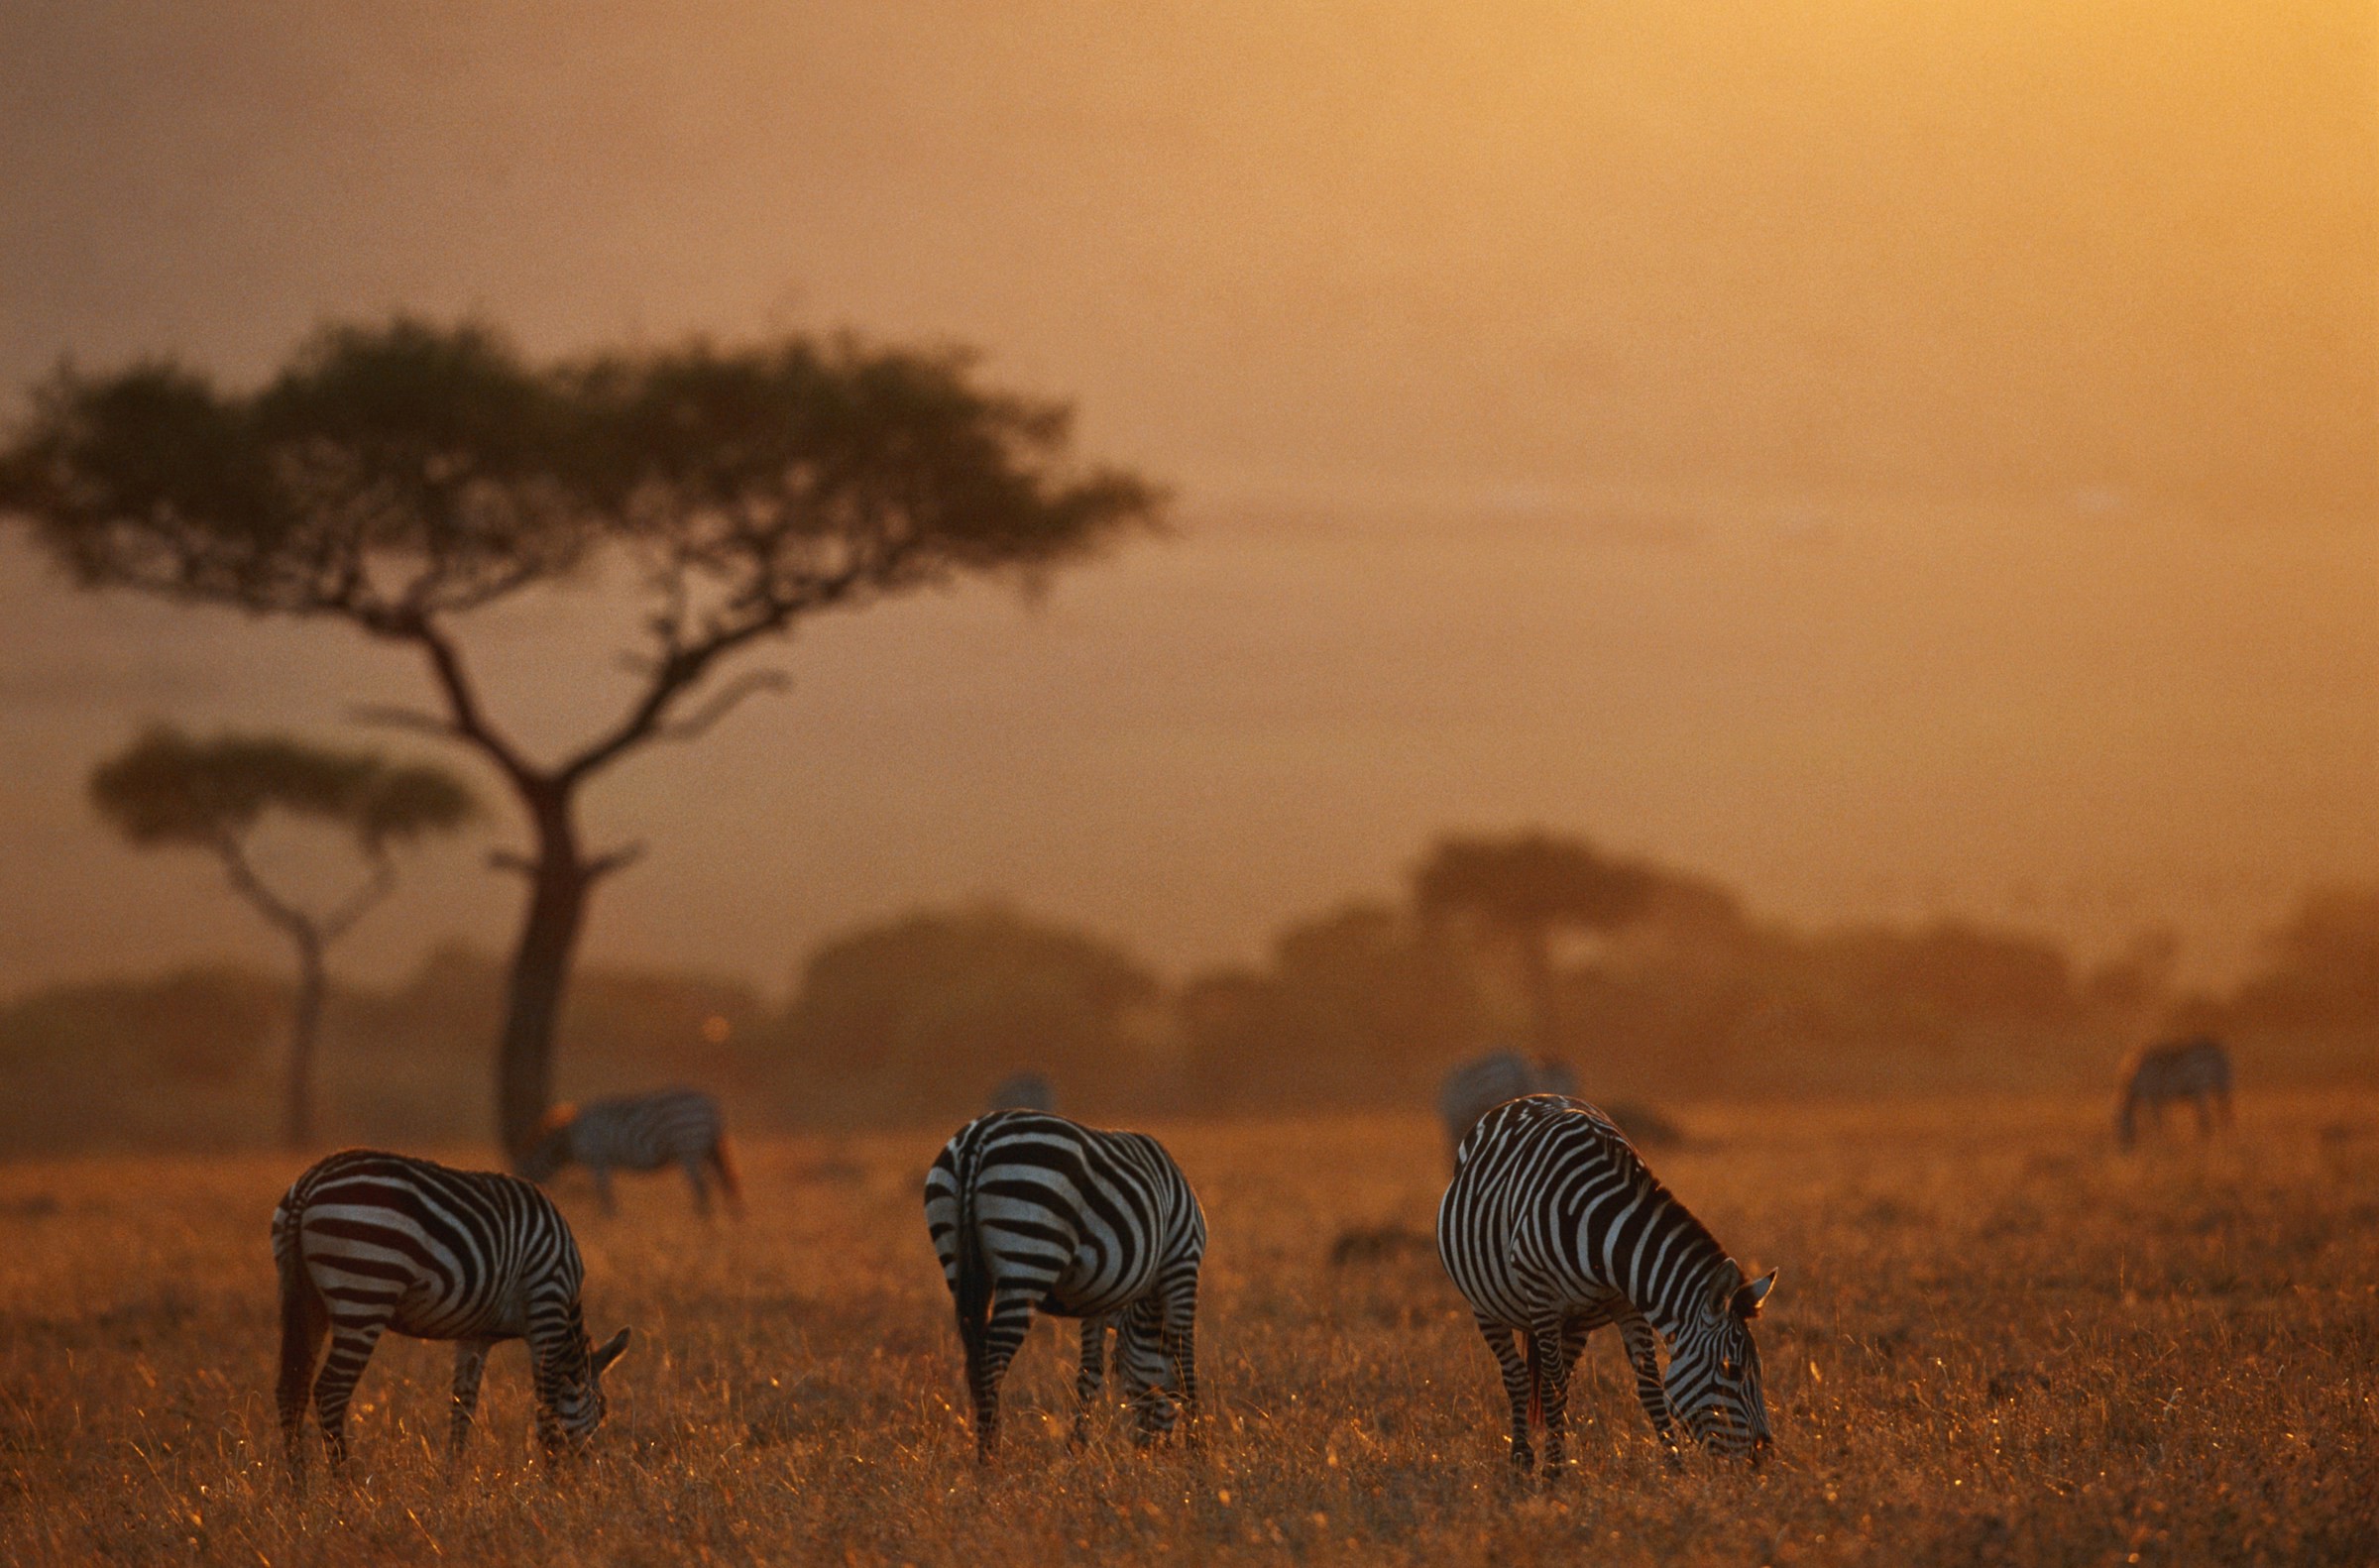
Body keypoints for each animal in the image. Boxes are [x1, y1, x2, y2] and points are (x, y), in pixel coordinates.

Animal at [270, 1147, 632, 1475]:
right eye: (603, 1410)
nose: (594, 1478)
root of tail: (308, 1185)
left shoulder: (476, 1336)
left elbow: (462, 1408)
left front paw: (452, 1480)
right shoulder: (547, 1302)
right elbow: (547, 1410)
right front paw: (551, 1484)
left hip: (307, 1298)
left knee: (291, 1390)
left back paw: (299, 1489)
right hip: (365, 1292)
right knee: (330, 1391)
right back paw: (345, 1487)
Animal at [520, 1084, 741, 1218]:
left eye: (526, 1167)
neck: (571, 1138)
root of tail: (711, 1106)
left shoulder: (598, 1159)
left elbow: (604, 1192)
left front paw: (608, 1220)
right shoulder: (601, 1162)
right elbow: (605, 1192)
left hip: (689, 1149)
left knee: (702, 1187)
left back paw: (701, 1222)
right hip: (707, 1150)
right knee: (722, 1182)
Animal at [918, 1118, 1198, 1456]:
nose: (1150, 1451)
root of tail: (977, 1137)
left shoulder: (1100, 1295)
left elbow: (1089, 1373)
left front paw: (1076, 1449)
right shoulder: (1183, 1262)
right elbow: (1186, 1362)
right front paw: (1200, 1450)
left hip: (959, 1261)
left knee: (975, 1356)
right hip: (1028, 1256)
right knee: (991, 1360)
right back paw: (991, 1456)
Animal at [1436, 1099, 1779, 1475]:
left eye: (1759, 1369)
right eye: (1732, 1369)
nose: (1764, 1458)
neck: (1604, 1229)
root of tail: (1523, 1099)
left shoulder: (1629, 1303)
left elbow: (1649, 1386)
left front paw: (1675, 1467)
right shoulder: (1542, 1297)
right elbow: (1551, 1388)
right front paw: (1553, 1471)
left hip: (1577, 1320)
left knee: (1560, 1377)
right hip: (1486, 1305)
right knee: (1518, 1378)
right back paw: (1522, 1459)